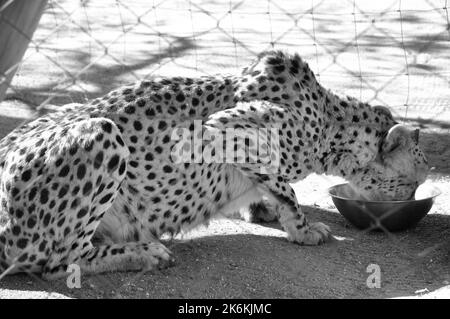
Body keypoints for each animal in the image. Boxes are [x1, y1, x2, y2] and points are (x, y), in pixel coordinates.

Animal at [0, 50, 428, 280]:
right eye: (411, 184)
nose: (405, 205)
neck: (330, 121)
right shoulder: (224, 127)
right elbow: (286, 187)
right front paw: (303, 228)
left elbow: (270, 188)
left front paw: (261, 209)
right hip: (102, 132)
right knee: (59, 263)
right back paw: (144, 252)